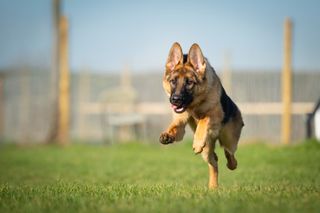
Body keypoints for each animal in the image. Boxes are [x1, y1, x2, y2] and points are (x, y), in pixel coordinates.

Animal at [159, 42, 244, 189]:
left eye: (189, 82)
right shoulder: (180, 123)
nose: (175, 99)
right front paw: (167, 134)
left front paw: (198, 142)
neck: (195, 105)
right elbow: (174, 126)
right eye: (173, 81)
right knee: (214, 162)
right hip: (207, 152)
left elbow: (204, 119)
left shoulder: (215, 114)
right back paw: (213, 187)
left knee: (230, 154)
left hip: (229, 139)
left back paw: (230, 163)